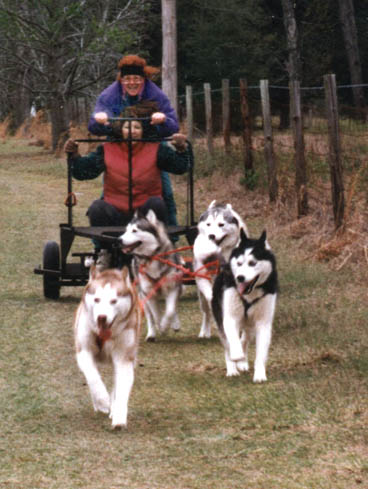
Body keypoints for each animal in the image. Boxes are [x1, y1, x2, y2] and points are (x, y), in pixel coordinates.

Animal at [73, 264, 141, 428]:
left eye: (114, 301)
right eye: (97, 299)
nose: (101, 317)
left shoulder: (124, 358)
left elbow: (121, 388)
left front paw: (119, 416)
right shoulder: (83, 351)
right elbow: (92, 376)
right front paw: (102, 401)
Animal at [120, 209, 182, 340]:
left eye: (134, 230)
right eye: (126, 230)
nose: (119, 240)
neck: (151, 257)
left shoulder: (173, 287)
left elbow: (170, 310)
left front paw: (167, 324)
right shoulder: (148, 292)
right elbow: (156, 315)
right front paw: (161, 327)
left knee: (173, 308)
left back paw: (175, 324)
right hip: (142, 296)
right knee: (150, 317)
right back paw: (151, 334)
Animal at [193, 200, 250, 338]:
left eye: (221, 224)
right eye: (208, 224)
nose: (211, 236)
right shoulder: (202, 276)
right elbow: (210, 297)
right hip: (201, 296)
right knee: (206, 312)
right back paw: (205, 331)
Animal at [211, 229, 278, 382]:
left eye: (252, 263)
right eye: (239, 263)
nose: (240, 277)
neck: (249, 295)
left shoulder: (263, 322)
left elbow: (260, 352)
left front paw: (259, 374)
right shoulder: (229, 317)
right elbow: (233, 341)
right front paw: (237, 356)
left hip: (250, 324)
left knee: (245, 339)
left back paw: (242, 362)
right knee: (228, 345)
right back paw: (232, 368)